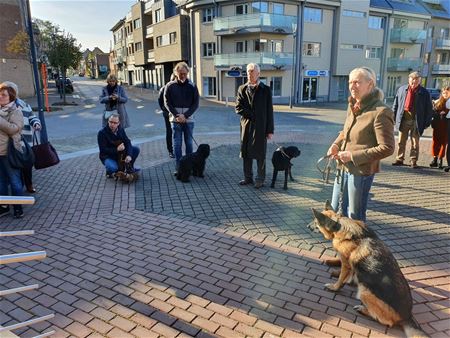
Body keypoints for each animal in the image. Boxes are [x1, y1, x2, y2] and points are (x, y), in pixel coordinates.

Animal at [312, 202, 428, 336]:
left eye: (315, 222)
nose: (307, 226)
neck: (340, 225)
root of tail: (407, 316)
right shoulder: (351, 265)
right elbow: (348, 273)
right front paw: (344, 276)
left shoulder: (347, 263)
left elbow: (342, 277)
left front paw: (335, 287)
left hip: (364, 292)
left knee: (387, 321)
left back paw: (363, 309)